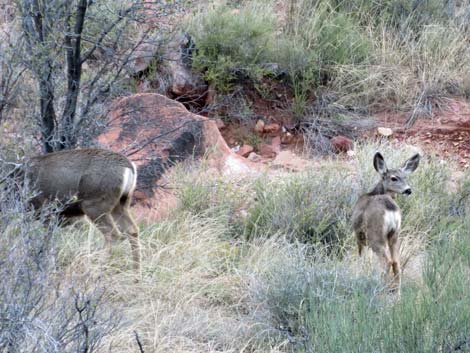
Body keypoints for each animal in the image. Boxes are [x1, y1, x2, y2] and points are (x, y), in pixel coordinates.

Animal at [350, 152, 420, 292]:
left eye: (405, 177)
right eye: (394, 178)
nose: (408, 190)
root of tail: (390, 208)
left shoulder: (359, 235)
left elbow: (361, 257)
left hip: (375, 234)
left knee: (387, 261)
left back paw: (379, 287)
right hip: (395, 234)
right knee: (396, 262)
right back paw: (398, 293)